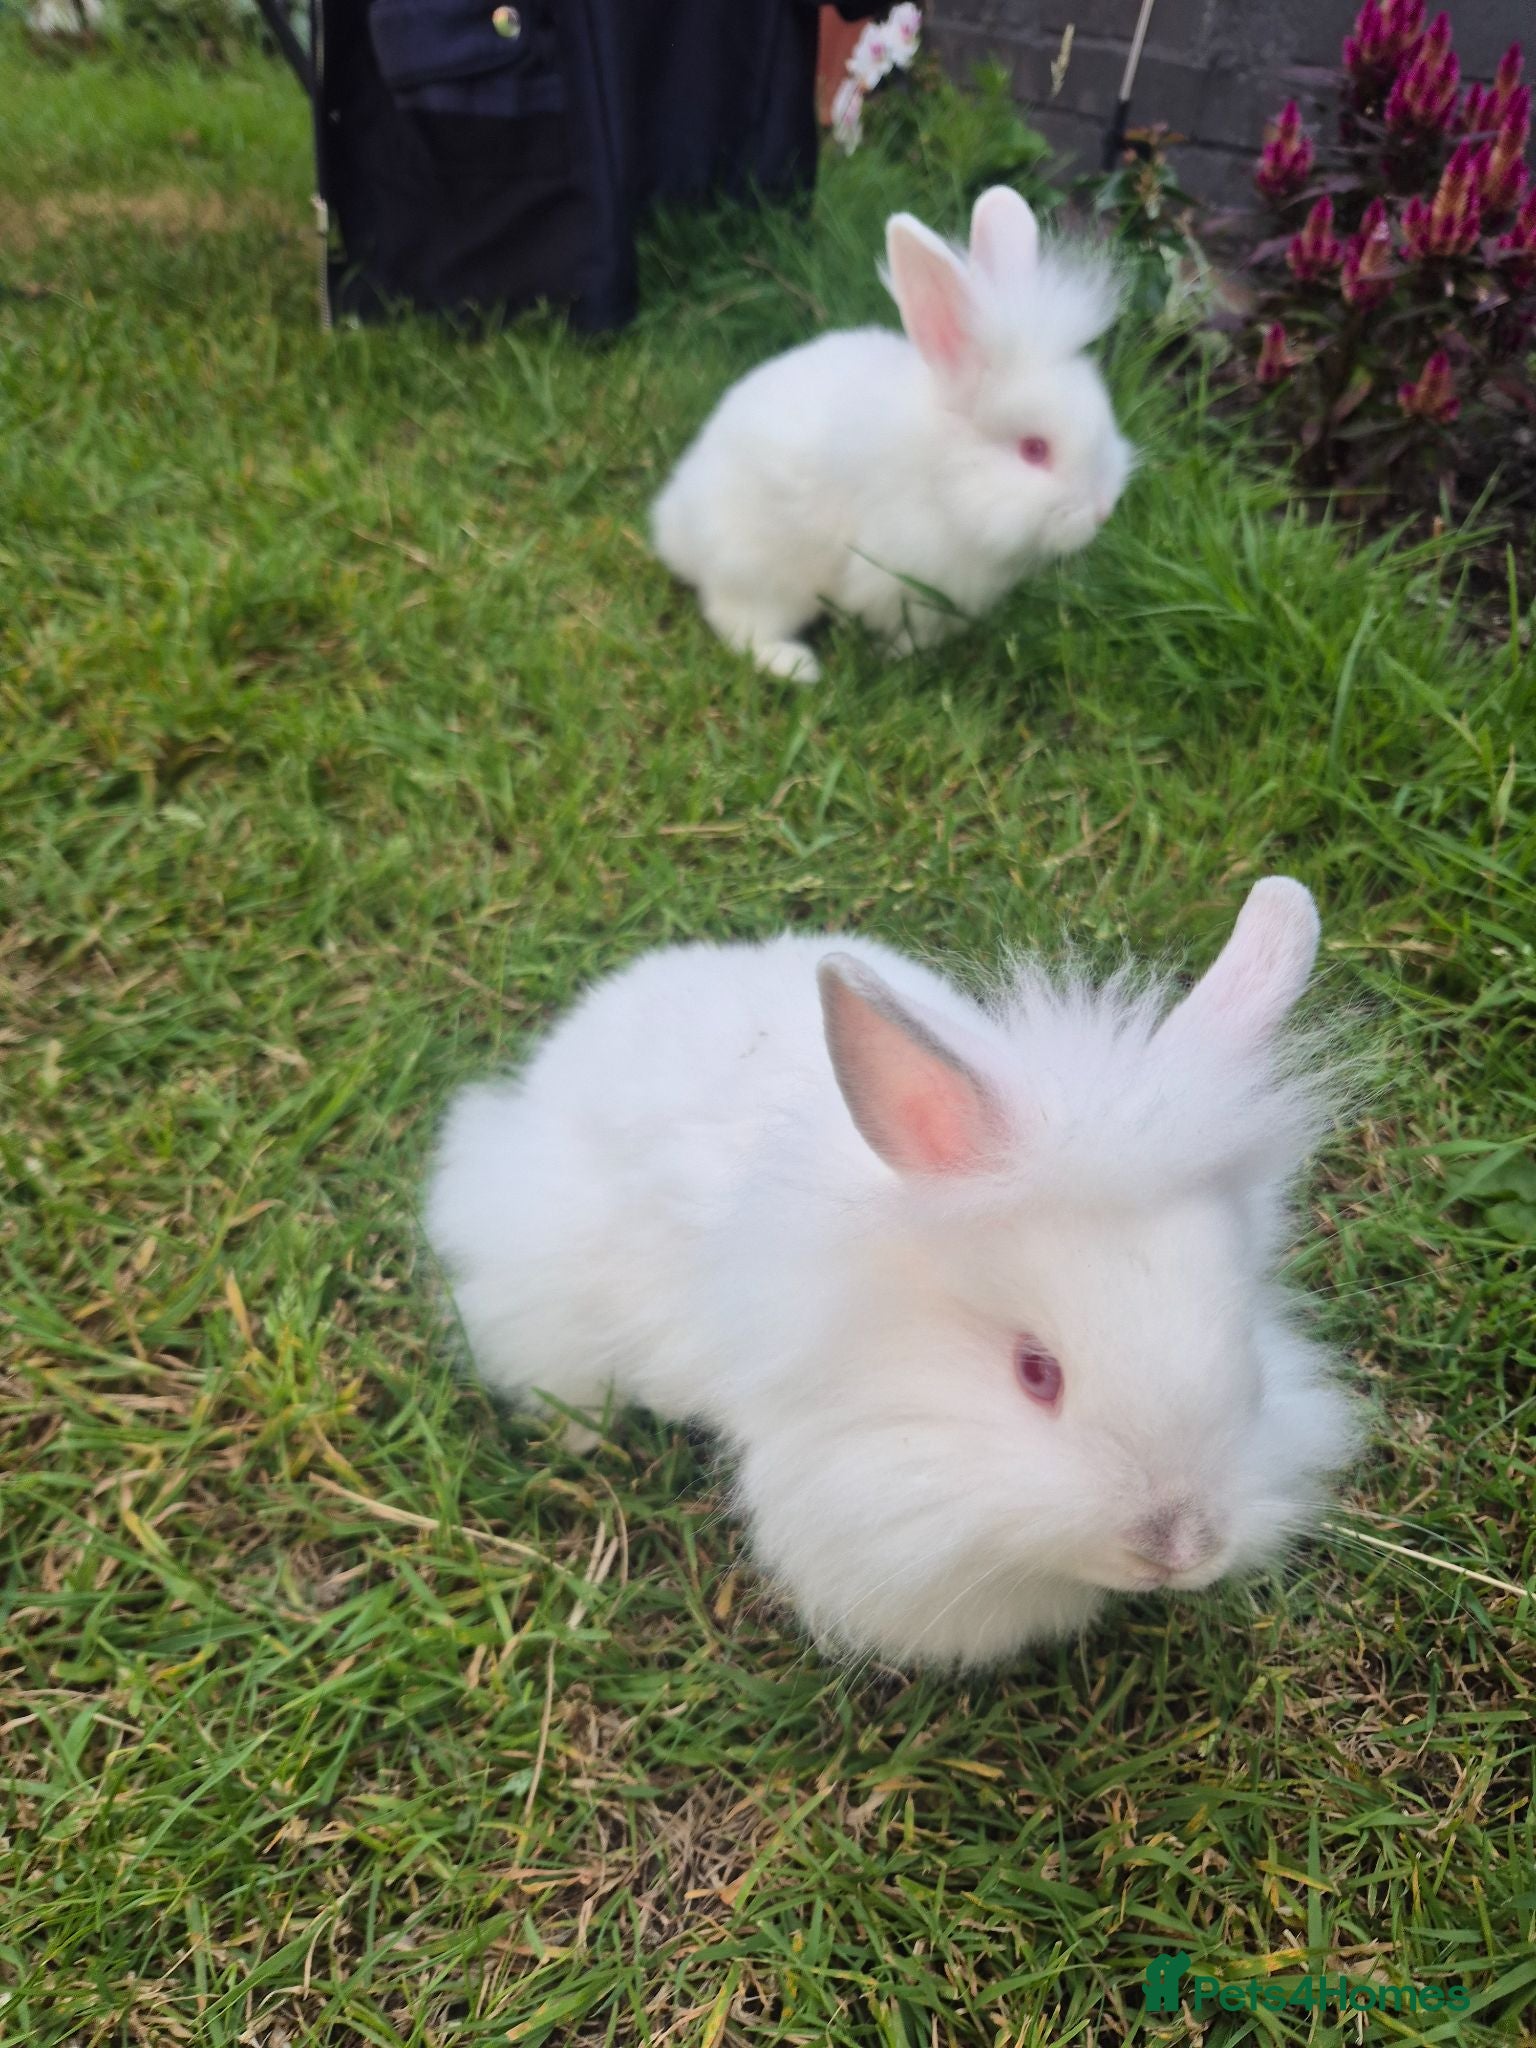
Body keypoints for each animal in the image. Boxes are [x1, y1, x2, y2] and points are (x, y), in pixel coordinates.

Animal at [648, 184, 1134, 684]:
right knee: (736, 623)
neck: (945, 475)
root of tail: (673, 525)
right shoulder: (902, 578)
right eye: (1034, 450)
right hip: (760, 573)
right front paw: (902, 657)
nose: (1102, 510)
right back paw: (796, 666)